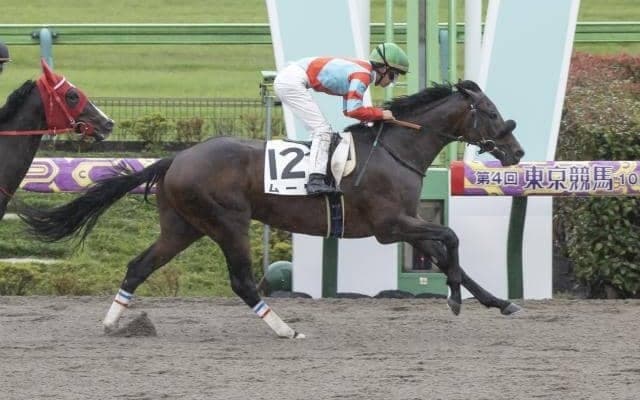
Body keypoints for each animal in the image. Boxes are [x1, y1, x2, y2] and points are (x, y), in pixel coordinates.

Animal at [18, 80, 524, 339]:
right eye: (492, 112)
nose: (516, 151)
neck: (395, 148)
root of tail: (174, 158)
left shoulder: (406, 224)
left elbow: (449, 254)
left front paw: (498, 302)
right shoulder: (391, 225)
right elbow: (451, 240)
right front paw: (455, 297)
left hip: (182, 227)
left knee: (138, 265)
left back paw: (112, 322)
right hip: (228, 222)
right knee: (243, 281)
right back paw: (284, 328)